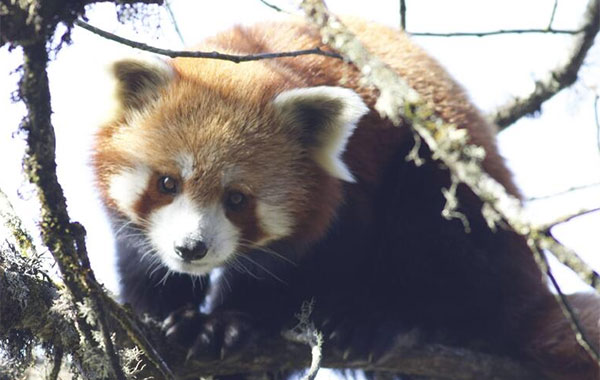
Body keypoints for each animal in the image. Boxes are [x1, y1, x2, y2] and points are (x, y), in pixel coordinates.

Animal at [94, 19, 600, 380]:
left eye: (237, 199)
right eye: (167, 183)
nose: (191, 248)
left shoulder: (349, 196)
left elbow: (300, 275)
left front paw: (229, 322)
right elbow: (143, 266)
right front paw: (164, 319)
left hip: (453, 201)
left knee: (432, 234)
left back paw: (384, 319)